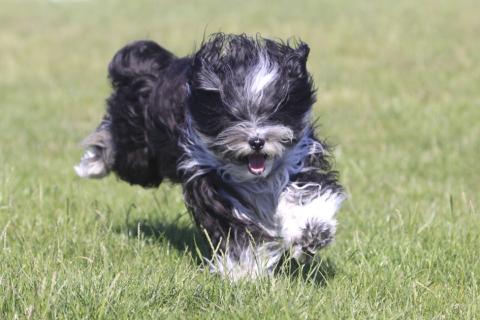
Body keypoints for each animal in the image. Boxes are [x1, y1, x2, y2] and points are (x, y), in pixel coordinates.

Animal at [75, 33, 344, 280]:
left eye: (275, 111)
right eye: (232, 115)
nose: (257, 141)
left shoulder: (299, 160)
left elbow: (309, 196)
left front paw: (312, 235)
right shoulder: (209, 181)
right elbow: (236, 230)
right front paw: (244, 271)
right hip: (139, 154)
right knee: (115, 141)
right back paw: (93, 163)